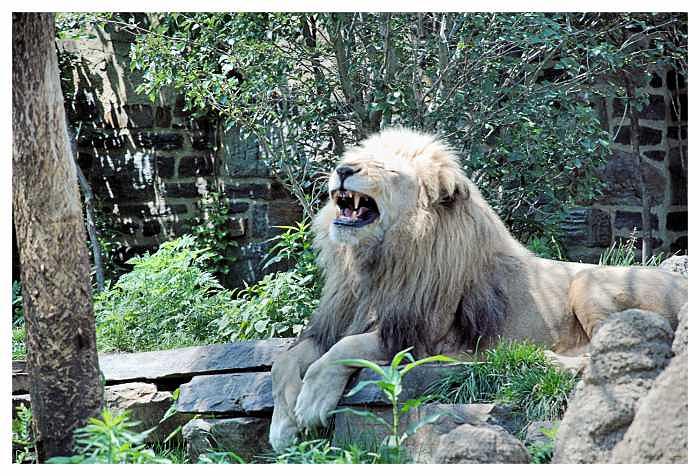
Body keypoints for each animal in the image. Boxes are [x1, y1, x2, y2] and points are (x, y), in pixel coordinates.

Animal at [268, 128, 688, 452]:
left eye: (387, 169)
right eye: (357, 158)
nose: (342, 170)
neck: (375, 263)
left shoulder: (420, 335)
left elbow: (344, 349)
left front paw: (311, 402)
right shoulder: (336, 320)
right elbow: (284, 361)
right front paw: (283, 425)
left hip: (589, 282)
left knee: (605, 348)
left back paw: (529, 358)